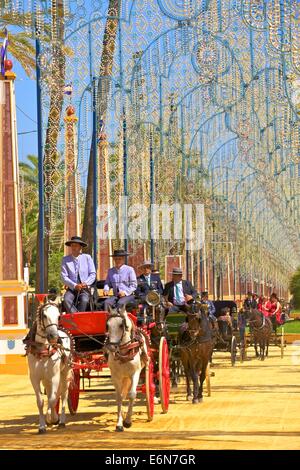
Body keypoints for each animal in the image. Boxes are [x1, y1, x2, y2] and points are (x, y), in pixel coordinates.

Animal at [26, 304, 74, 434]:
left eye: (58, 316)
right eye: (44, 315)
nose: (54, 336)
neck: (42, 350)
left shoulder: (54, 377)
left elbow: (53, 399)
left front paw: (53, 418)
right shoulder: (35, 378)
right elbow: (41, 401)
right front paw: (42, 426)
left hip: (65, 373)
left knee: (63, 394)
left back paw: (61, 421)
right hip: (46, 379)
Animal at [105, 302, 148, 432]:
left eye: (121, 325)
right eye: (107, 325)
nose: (112, 347)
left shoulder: (135, 373)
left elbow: (132, 394)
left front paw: (128, 421)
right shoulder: (115, 376)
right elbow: (119, 397)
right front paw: (120, 423)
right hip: (124, 378)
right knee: (123, 394)